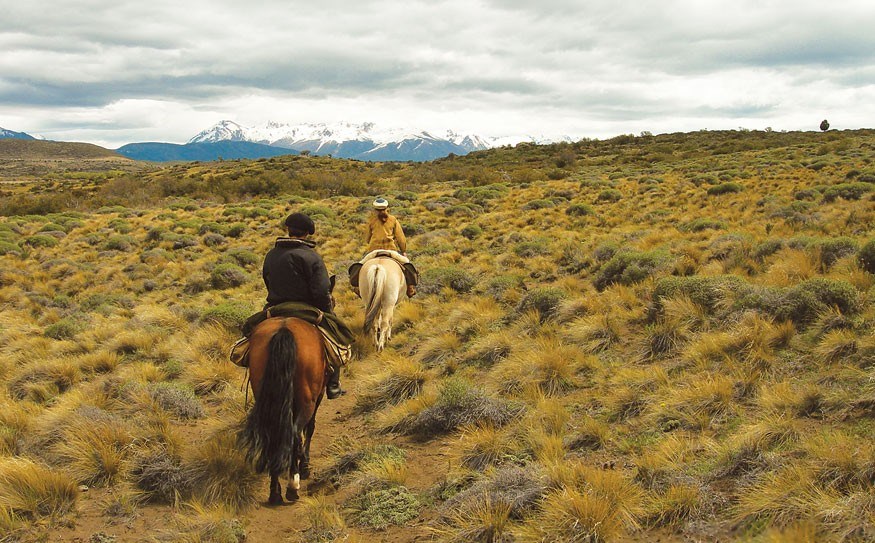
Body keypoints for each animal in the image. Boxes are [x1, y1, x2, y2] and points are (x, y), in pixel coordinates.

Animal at [238, 318, 326, 506]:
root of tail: (284, 329)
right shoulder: (318, 396)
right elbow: (310, 429)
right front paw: (305, 467)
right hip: (307, 401)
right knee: (295, 434)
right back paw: (293, 487)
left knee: (275, 437)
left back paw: (275, 493)